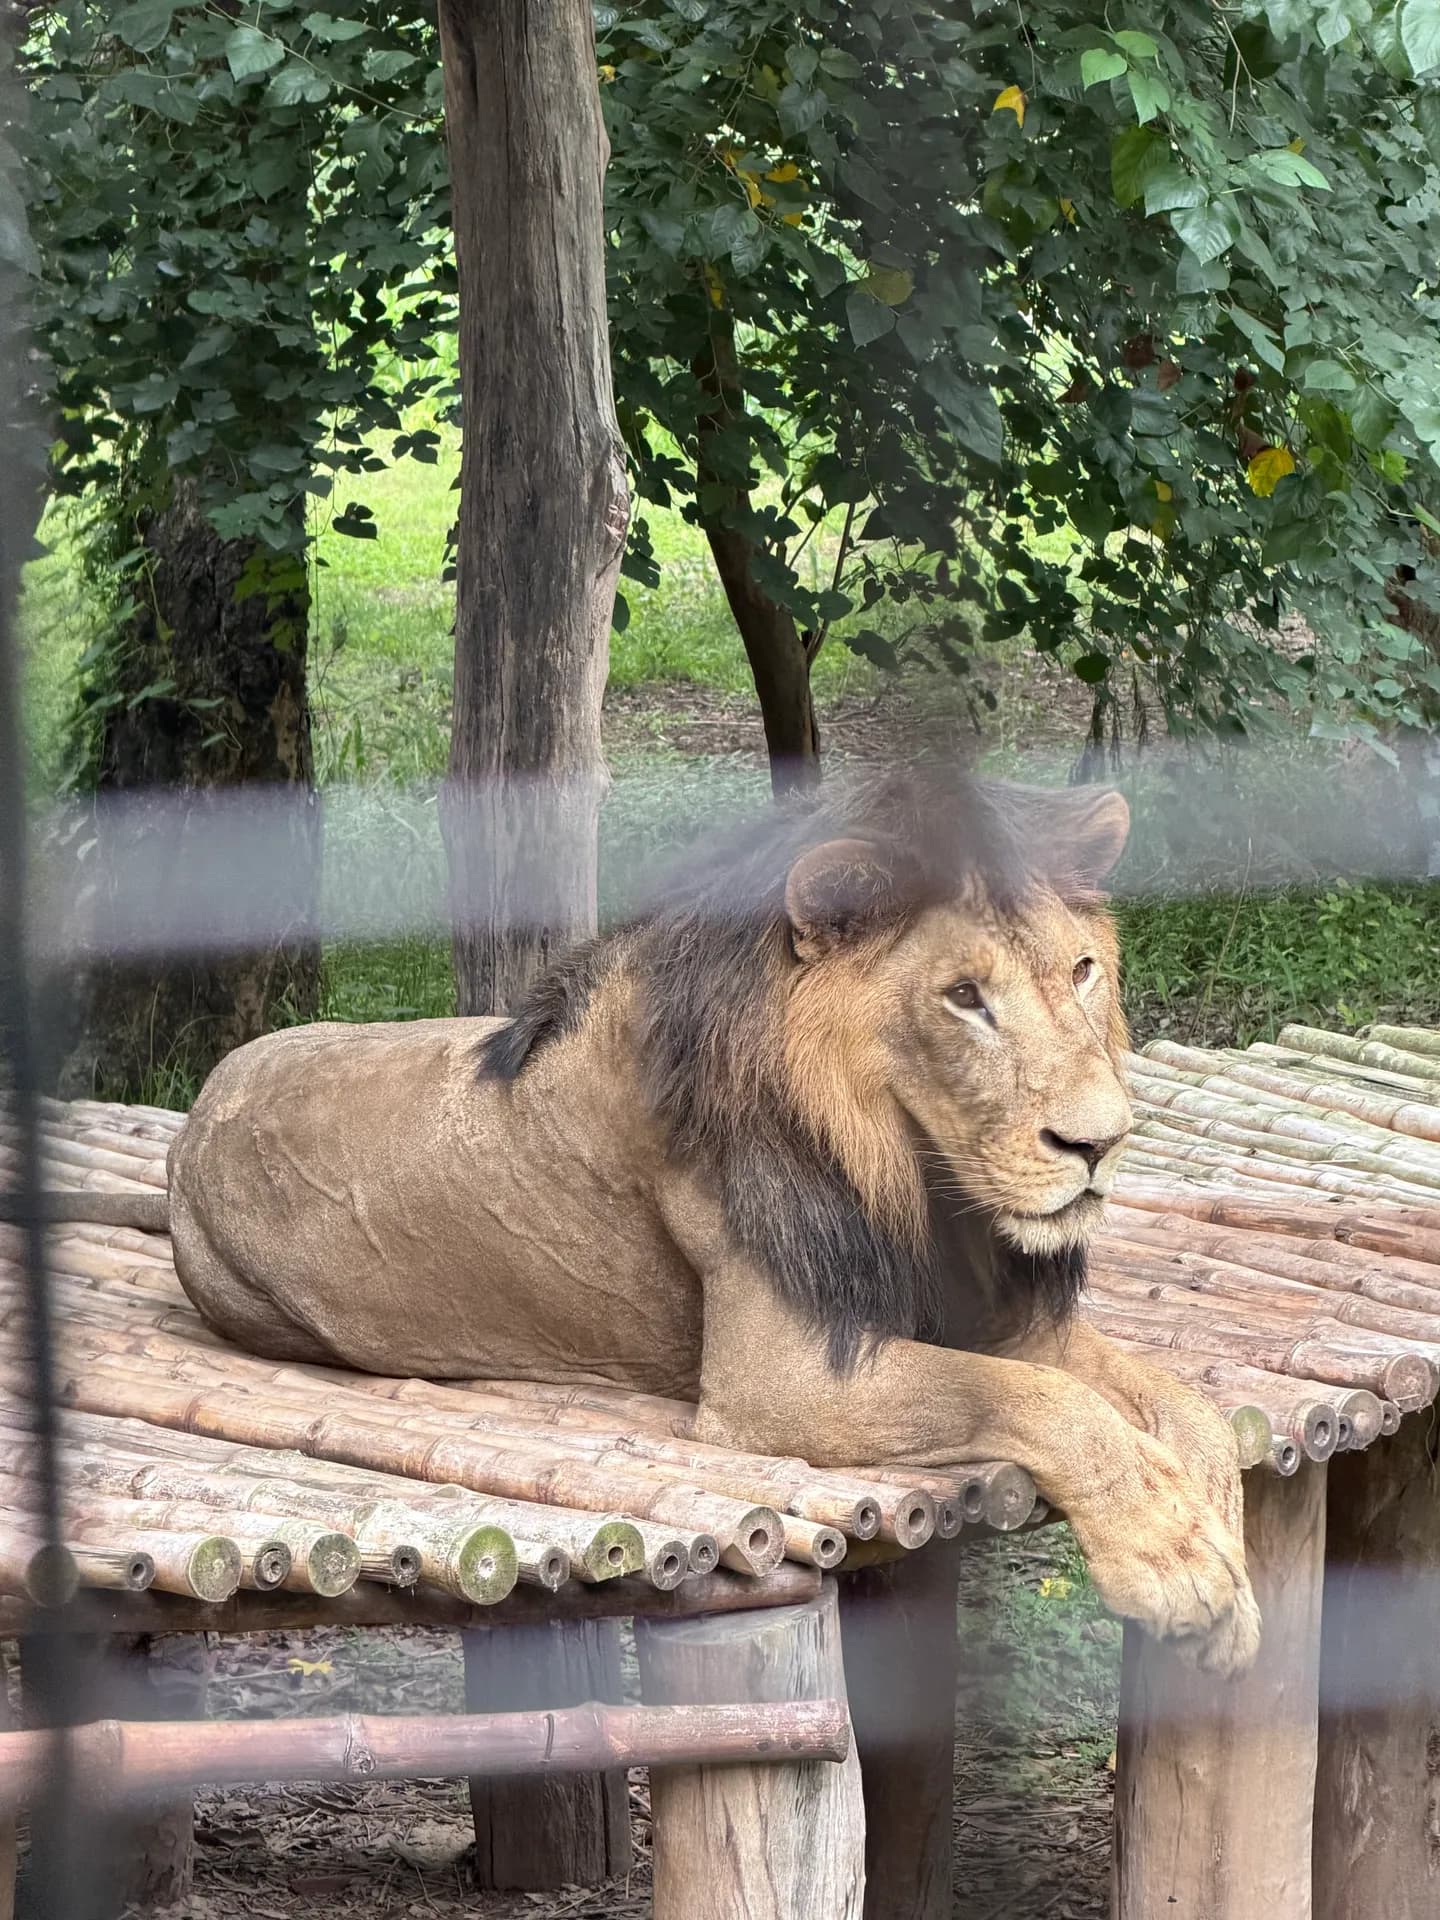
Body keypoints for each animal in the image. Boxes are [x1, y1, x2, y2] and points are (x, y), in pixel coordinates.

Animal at [115, 772, 1261, 1671]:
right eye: (963, 996)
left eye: (1081, 970)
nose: (1101, 1142)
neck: (916, 1180)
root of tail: (193, 1121)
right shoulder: (781, 1383)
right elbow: (1045, 1403)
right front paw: (1172, 1563)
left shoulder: (999, 1317)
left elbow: (1186, 1409)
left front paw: (1224, 1563)